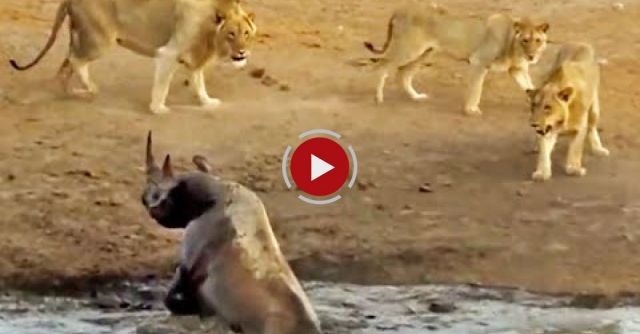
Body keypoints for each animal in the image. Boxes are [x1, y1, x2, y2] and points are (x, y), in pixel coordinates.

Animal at [8, 0, 256, 114]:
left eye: (246, 33)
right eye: (231, 34)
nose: (242, 52)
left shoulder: (196, 58)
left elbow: (199, 82)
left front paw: (207, 102)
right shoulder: (169, 53)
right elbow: (162, 86)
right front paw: (158, 109)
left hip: (82, 37)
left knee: (66, 63)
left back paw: (71, 92)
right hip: (99, 40)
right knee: (76, 60)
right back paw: (89, 90)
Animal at [364, 2, 552, 115]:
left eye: (538, 40)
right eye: (525, 40)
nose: (532, 56)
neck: (513, 44)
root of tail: (400, 9)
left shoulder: (517, 70)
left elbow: (531, 88)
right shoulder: (478, 62)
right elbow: (476, 89)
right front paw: (471, 110)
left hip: (425, 53)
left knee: (403, 74)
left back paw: (416, 97)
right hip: (408, 49)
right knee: (381, 66)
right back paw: (378, 98)